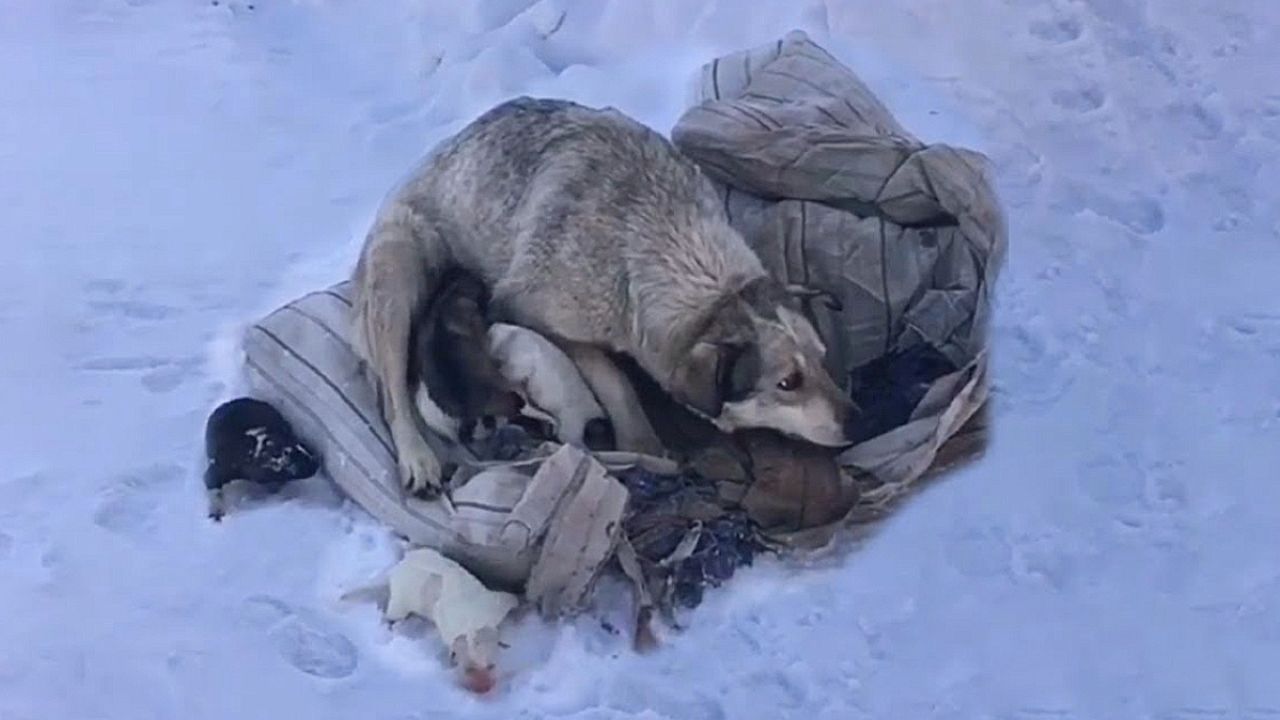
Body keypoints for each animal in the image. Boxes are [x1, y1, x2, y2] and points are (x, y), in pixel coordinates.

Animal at [350, 96, 855, 491]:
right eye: (788, 383)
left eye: (823, 357)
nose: (858, 418)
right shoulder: (523, 307)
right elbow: (612, 377)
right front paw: (642, 442)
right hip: (396, 268)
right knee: (392, 394)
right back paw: (418, 458)